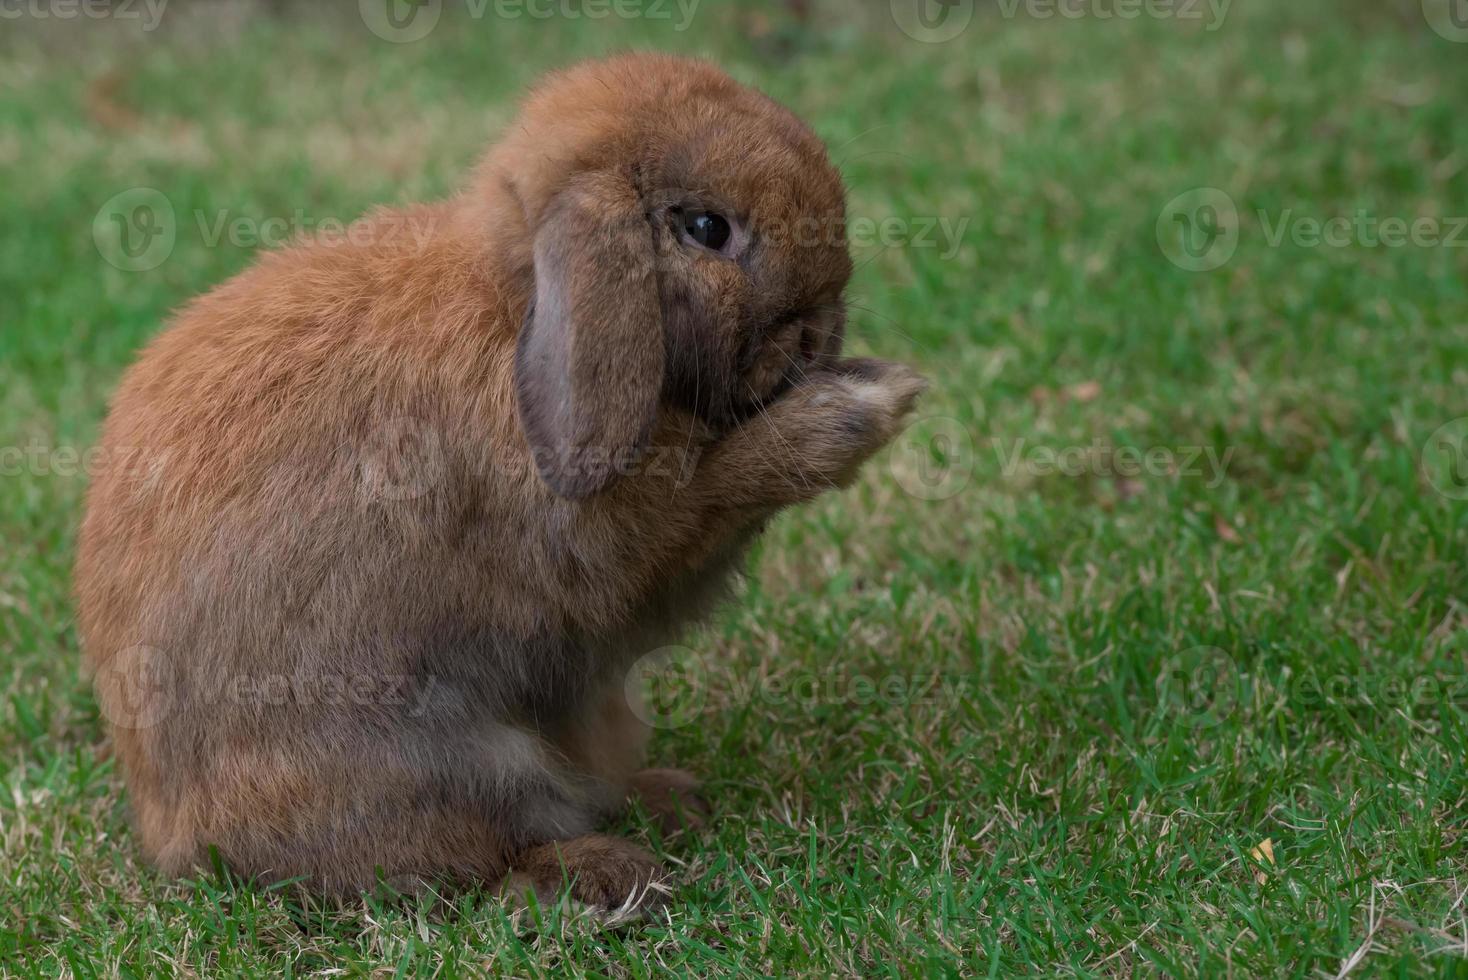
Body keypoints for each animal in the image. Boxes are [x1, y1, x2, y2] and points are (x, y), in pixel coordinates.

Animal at [74, 53, 921, 909]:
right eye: (707, 229)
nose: (820, 334)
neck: (514, 307)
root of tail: (174, 835)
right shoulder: (598, 560)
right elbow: (700, 505)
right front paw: (864, 409)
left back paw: (668, 800)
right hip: (445, 763)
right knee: (483, 861)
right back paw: (608, 875)